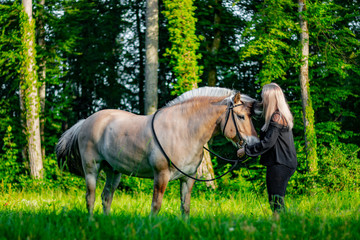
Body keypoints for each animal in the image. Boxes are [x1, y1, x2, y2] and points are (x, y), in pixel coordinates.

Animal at [56, 87, 260, 217]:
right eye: (241, 116)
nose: (254, 144)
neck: (183, 130)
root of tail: (86, 121)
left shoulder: (188, 179)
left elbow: (185, 207)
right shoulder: (161, 176)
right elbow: (156, 205)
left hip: (113, 171)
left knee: (106, 197)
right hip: (92, 169)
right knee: (90, 197)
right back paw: (92, 222)